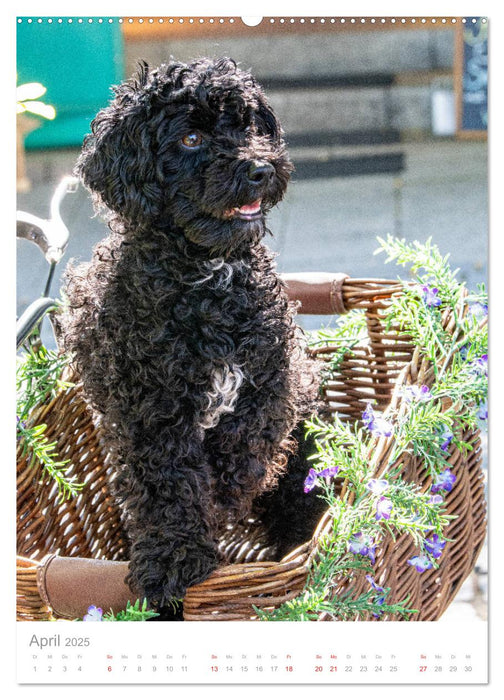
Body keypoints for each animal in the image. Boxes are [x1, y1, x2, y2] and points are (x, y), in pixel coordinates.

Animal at [63, 57, 324, 608]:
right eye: (189, 139)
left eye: (248, 126)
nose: (260, 168)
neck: (206, 280)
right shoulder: (147, 409)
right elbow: (169, 485)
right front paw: (173, 561)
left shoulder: (275, 378)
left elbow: (244, 443)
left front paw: (225, 496)